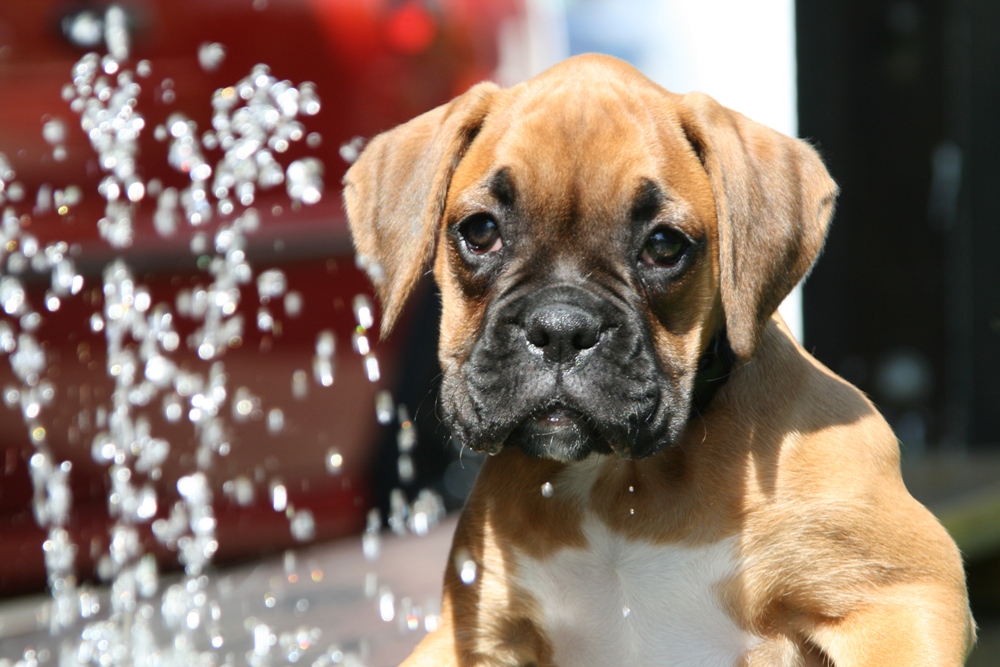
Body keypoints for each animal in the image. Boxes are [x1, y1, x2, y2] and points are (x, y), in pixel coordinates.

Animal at [346, 54, 976, 664]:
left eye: (665, 245)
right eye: (480, 231)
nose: (561, 329)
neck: (619, 483)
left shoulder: (901, 596)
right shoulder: (470, 639)